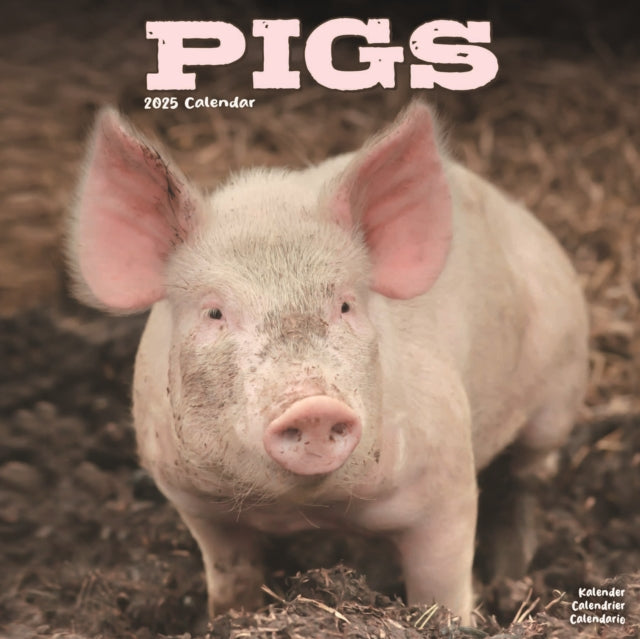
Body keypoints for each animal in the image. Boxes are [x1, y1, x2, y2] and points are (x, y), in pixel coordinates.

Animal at [67, 101, 588, 623]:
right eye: (214, 313)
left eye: (345, 305)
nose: (313, 406)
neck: (307, 509)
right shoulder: (193, 500)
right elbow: (231, 575)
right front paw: (226, 619)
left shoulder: (447, 475)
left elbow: (442, 581)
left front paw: (453, 622)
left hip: (560, 390)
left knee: (528, 476)